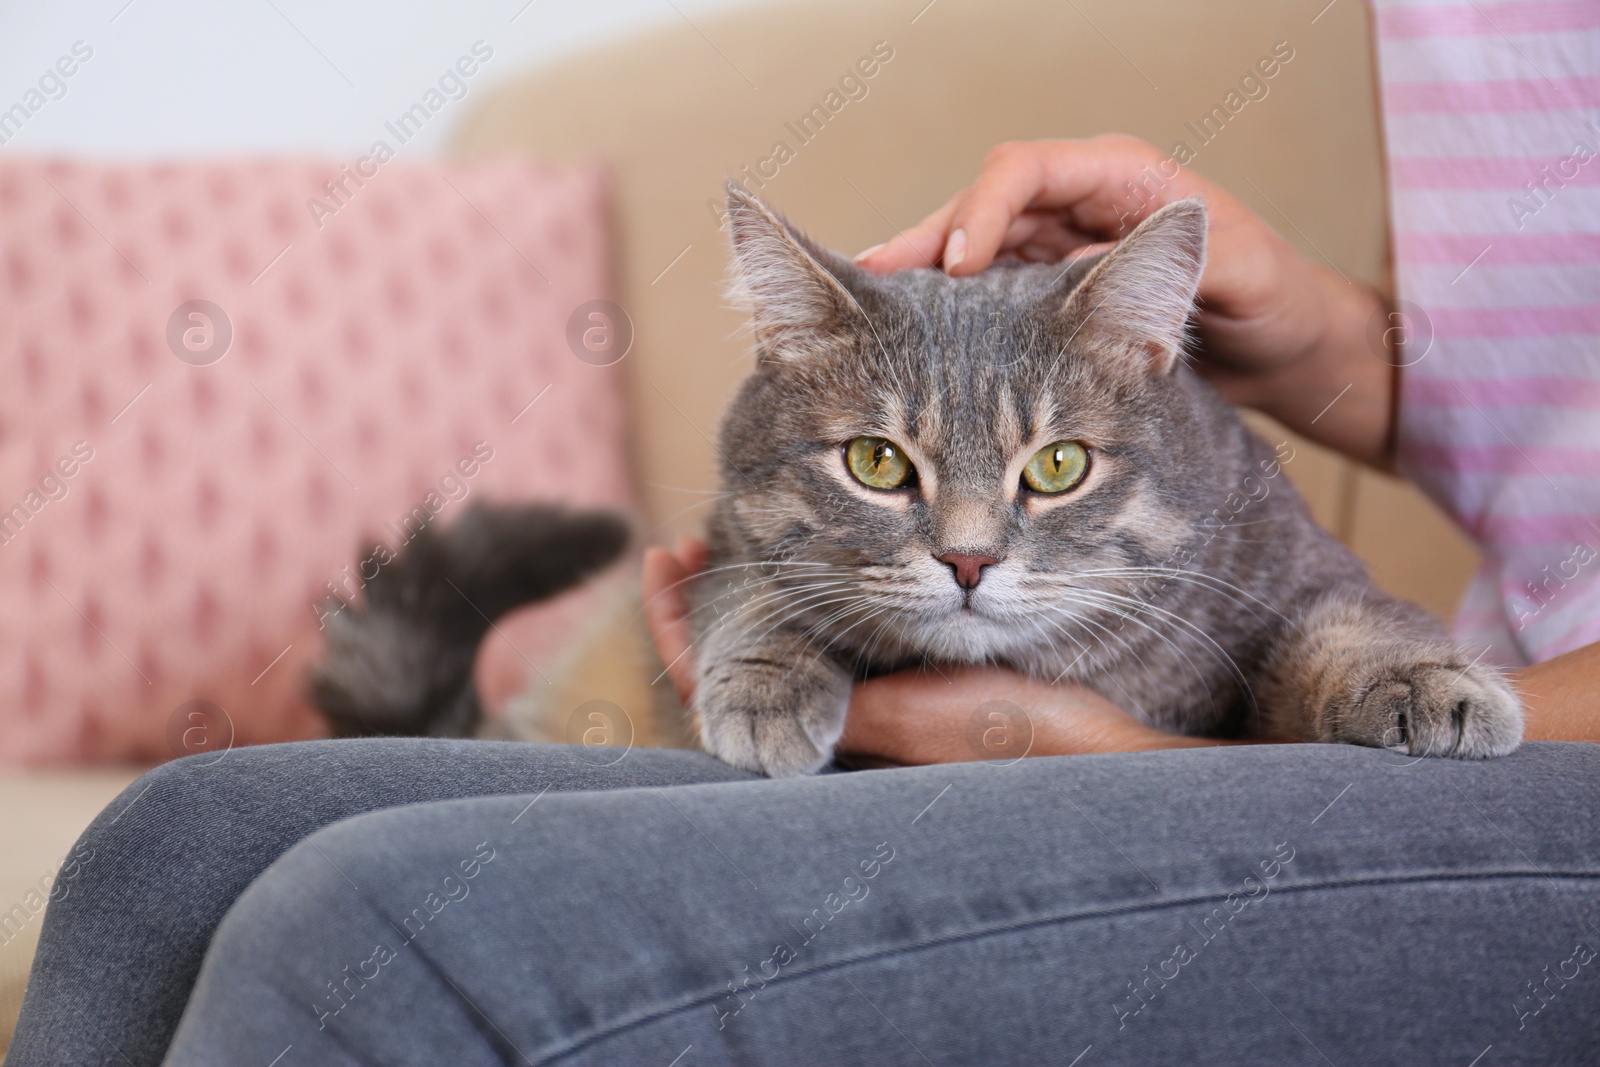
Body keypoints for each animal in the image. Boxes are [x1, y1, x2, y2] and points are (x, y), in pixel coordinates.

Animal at [694, 187, 1516, 777]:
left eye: (1059, 465)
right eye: (876, 460)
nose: (968, 559)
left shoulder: (1294, 562)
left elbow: (1353, 620)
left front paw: (1429, 680)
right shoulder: (723, 534)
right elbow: (748, 588)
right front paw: (767, 675)